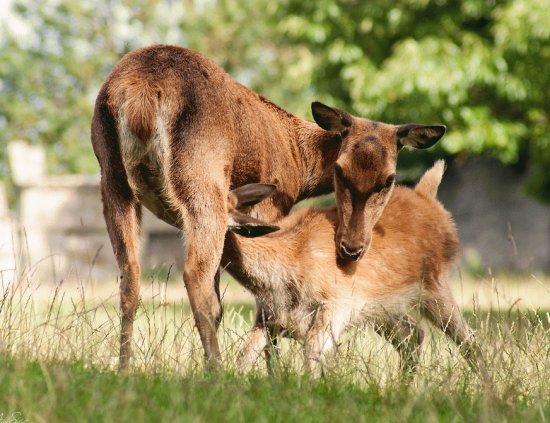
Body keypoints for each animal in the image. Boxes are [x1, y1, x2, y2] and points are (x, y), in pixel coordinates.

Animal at [89, 44, 444, 372]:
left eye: (388, 179)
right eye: (340, 170)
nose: (352, 248)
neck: (299, 169)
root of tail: (140, 97)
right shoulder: (272, 204)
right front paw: (273, 373)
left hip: (112, 177)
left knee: (130, 276)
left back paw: (125, 370)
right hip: (202, 180)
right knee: (196, 279)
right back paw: (216, 370)